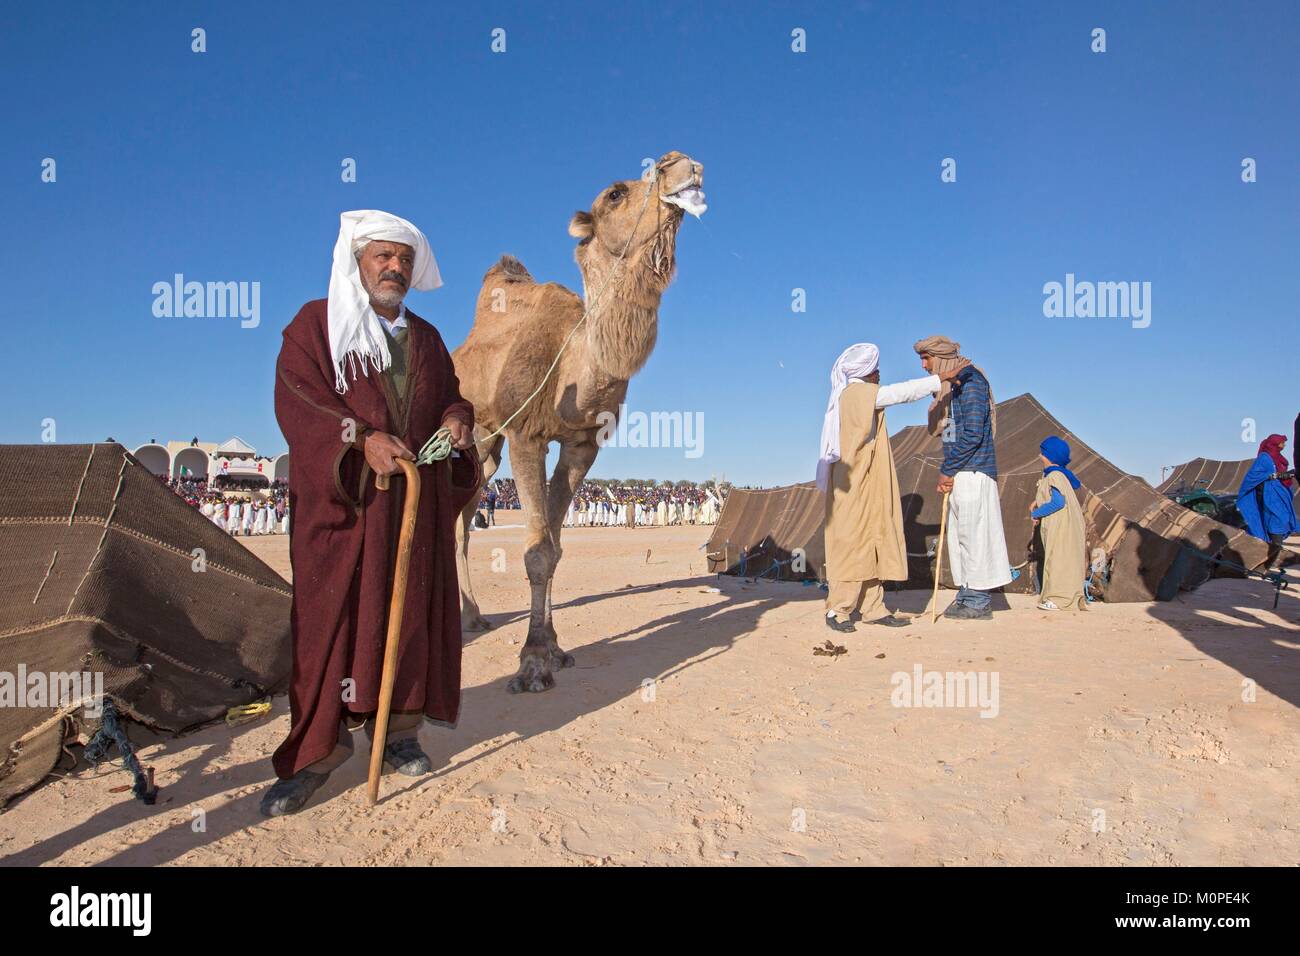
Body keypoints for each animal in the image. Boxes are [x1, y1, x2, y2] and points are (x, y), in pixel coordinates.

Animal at [452, 149, 707, 697]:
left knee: (462, 522)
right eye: (614, 192)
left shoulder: (581, 445)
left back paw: (473, 616)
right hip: (471, 436)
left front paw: (554, 648)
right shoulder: (526, 435)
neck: (572, 366)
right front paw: (530, 664)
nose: (683, 164)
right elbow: (536, 550)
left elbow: (555, 544)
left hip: (487, 450)